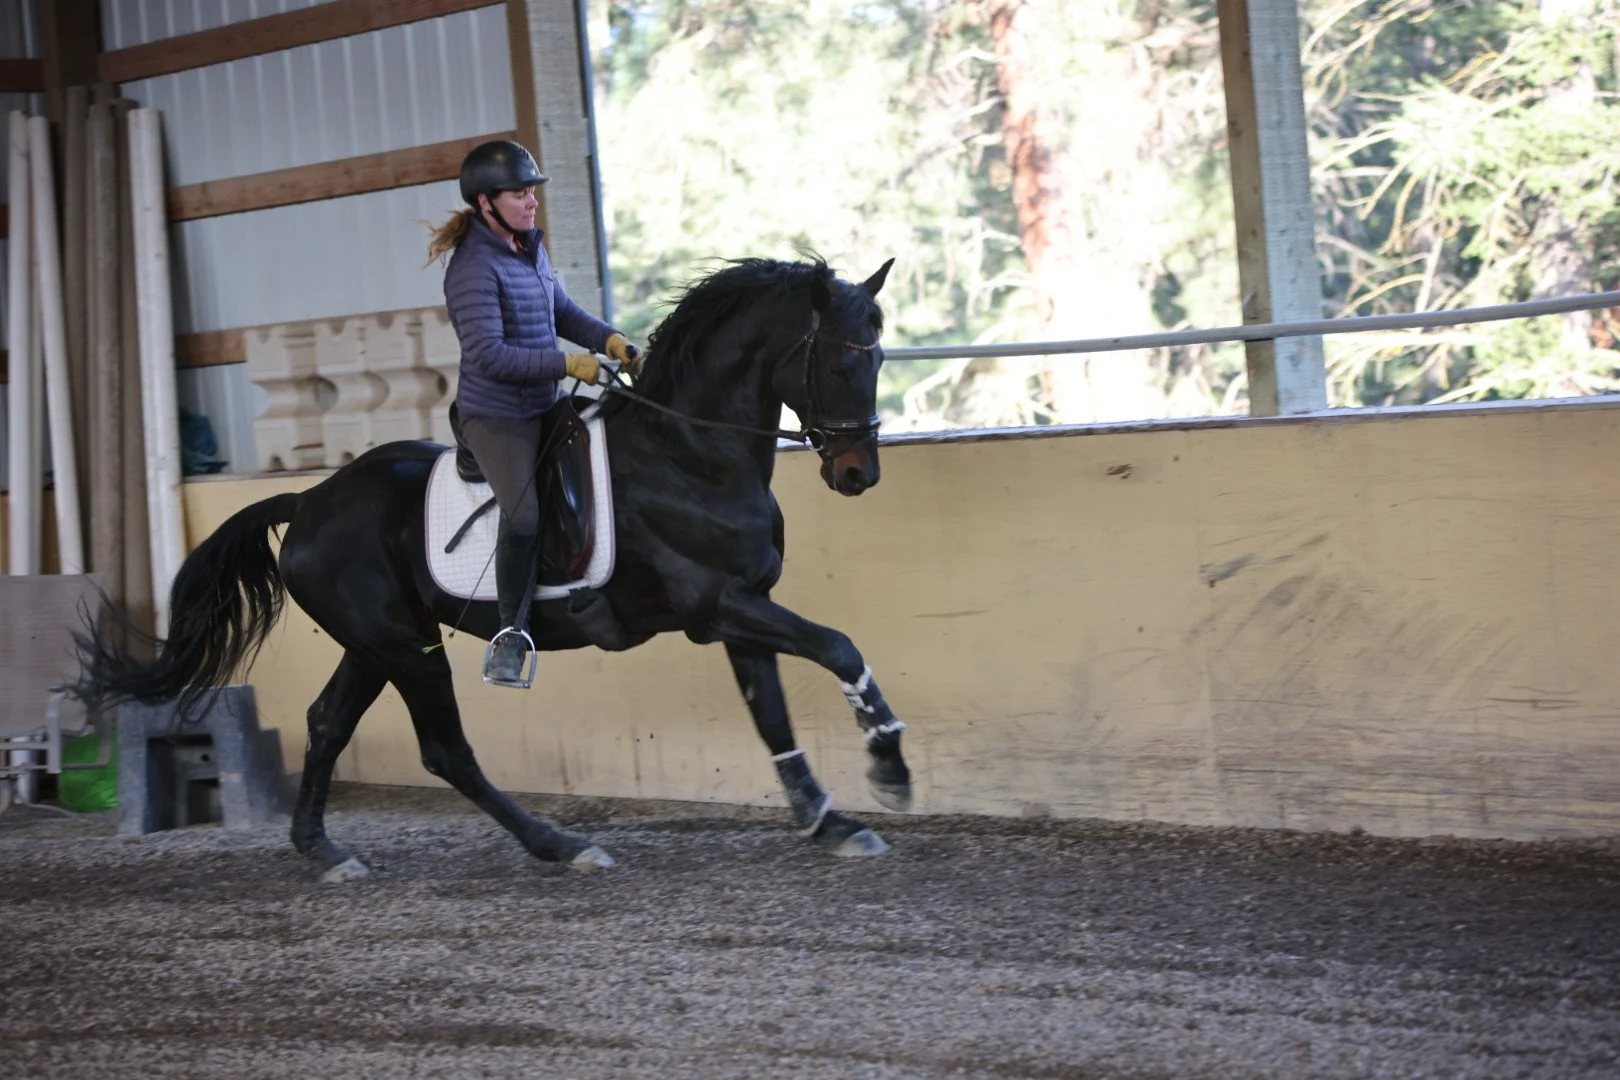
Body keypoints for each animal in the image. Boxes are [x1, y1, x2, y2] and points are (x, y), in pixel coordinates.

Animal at [73, 256, 912, 880]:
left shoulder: (742, 607)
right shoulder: (716, 606)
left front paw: (828, 820)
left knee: (326, 723)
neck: (690, 455)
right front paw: (889, 766)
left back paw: (325, 851)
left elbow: (771, 712)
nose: (859, 474)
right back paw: (562, 844)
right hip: (406, 648)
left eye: (878, 356)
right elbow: (840, 647)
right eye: (841, 364)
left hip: (376, 643)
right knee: (444, 750)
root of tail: (308, 500)